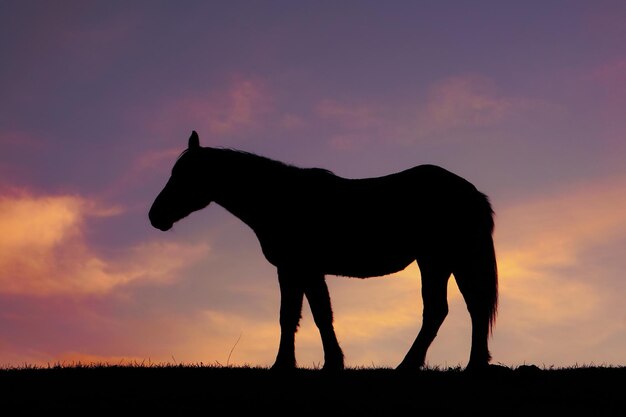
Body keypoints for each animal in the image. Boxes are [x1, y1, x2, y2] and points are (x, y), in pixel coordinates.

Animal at [149, 131, 494, 370]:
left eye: (183, 176)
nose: (155, 216)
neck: (278, 197)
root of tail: (471, 192)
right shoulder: (298, 270)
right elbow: (303, 316)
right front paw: (306, 363)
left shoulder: (301, 268)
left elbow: (306, 316)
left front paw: (308, 363)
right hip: (448, 262)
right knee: (466, 308)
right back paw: (468, 364)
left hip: (438, 260)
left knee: (445, 309)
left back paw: (416, 365)